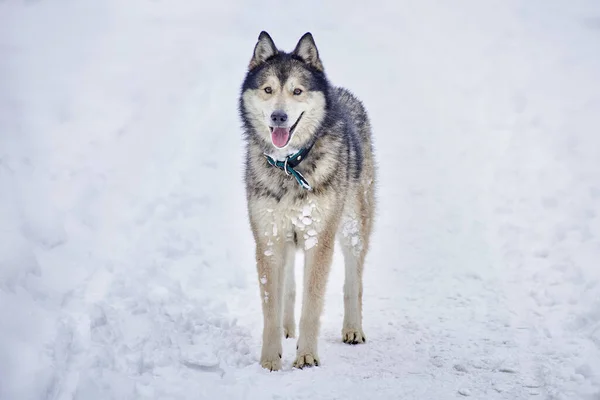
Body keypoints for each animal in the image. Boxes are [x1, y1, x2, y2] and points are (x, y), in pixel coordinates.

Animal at [238, 31, 376, 372]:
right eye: (268, 90)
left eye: (297, 91)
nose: (279, 116)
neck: (290, 166)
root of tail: (342, 92)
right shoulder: (268, 240)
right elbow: (271, 308)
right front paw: (270, 360)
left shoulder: (319, 239)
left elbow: (312, 304)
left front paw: (307, 356)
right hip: (287, 239)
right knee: (288, 286)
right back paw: (289, 329)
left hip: (353, 228)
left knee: (353, 281)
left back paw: (353, 329)